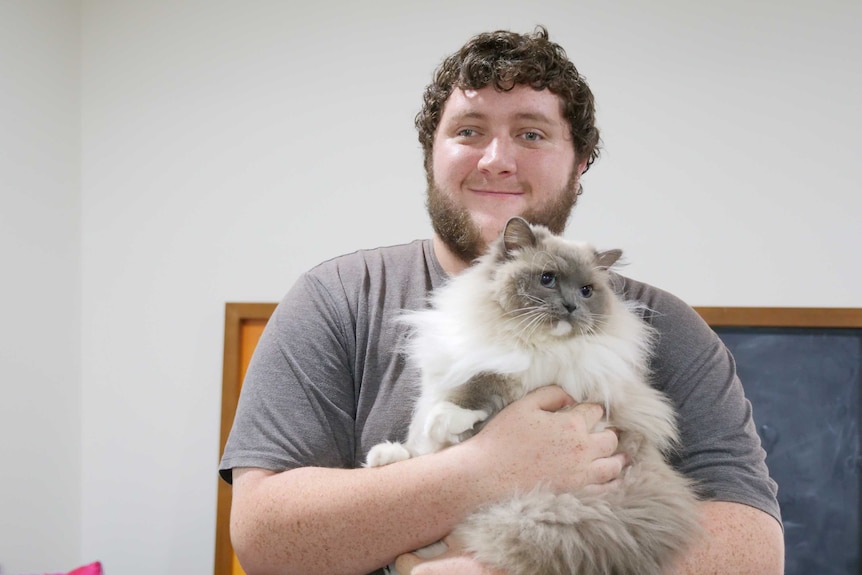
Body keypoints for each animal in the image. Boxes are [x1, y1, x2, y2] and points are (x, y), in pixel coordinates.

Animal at [368, 217, 704, 575]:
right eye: (547, 279)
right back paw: (384, 458)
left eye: (586, 291)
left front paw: (448, 418)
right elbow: (430, 440)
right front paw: (398, 450)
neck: (526, 343)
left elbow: (478, 389)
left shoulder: (539, 380)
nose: (571, 306)